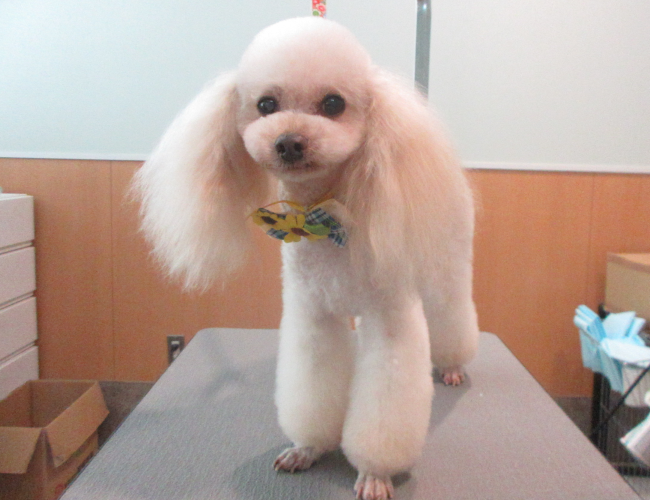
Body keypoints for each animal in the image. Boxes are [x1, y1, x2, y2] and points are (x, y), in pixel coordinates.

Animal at [133, 17, 479, 500]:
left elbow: (385, 406)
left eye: (333, 103)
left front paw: (375, 471)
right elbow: (312, 386)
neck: (326, 218)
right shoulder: (312, 315)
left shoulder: (390, 319)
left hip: (444, 266)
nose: (289, 142)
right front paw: (308, 448)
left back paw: (451, 366)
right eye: (266, 104)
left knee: (451, 315)